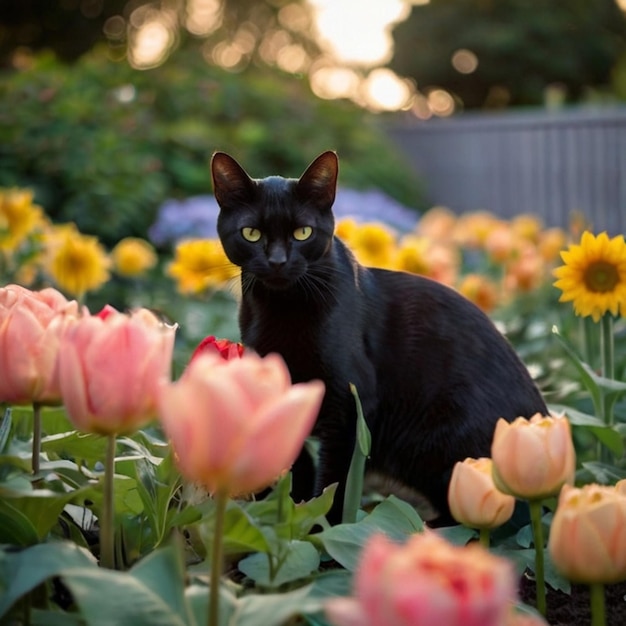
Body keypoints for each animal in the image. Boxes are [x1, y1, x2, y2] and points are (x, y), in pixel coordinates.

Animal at [212, 149, 544, 524]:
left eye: (303, 232)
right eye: (251, 233)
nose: (278, 261)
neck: (281, 312)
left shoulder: (350, 405)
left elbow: (337, 484)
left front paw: (323, 530)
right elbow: (296, 466)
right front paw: (290, 517)